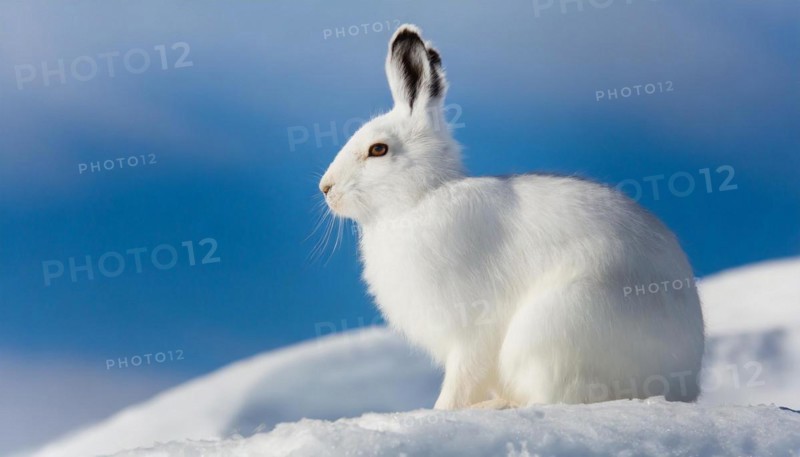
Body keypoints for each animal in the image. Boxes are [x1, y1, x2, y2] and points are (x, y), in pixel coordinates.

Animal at [318, 24, 705, 409]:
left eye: (378, 150)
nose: (326, 188)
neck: (419, 200)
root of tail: (683, 382)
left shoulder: (472, 330)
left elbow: (461, 381)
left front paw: (439, 413)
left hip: (558, 328)